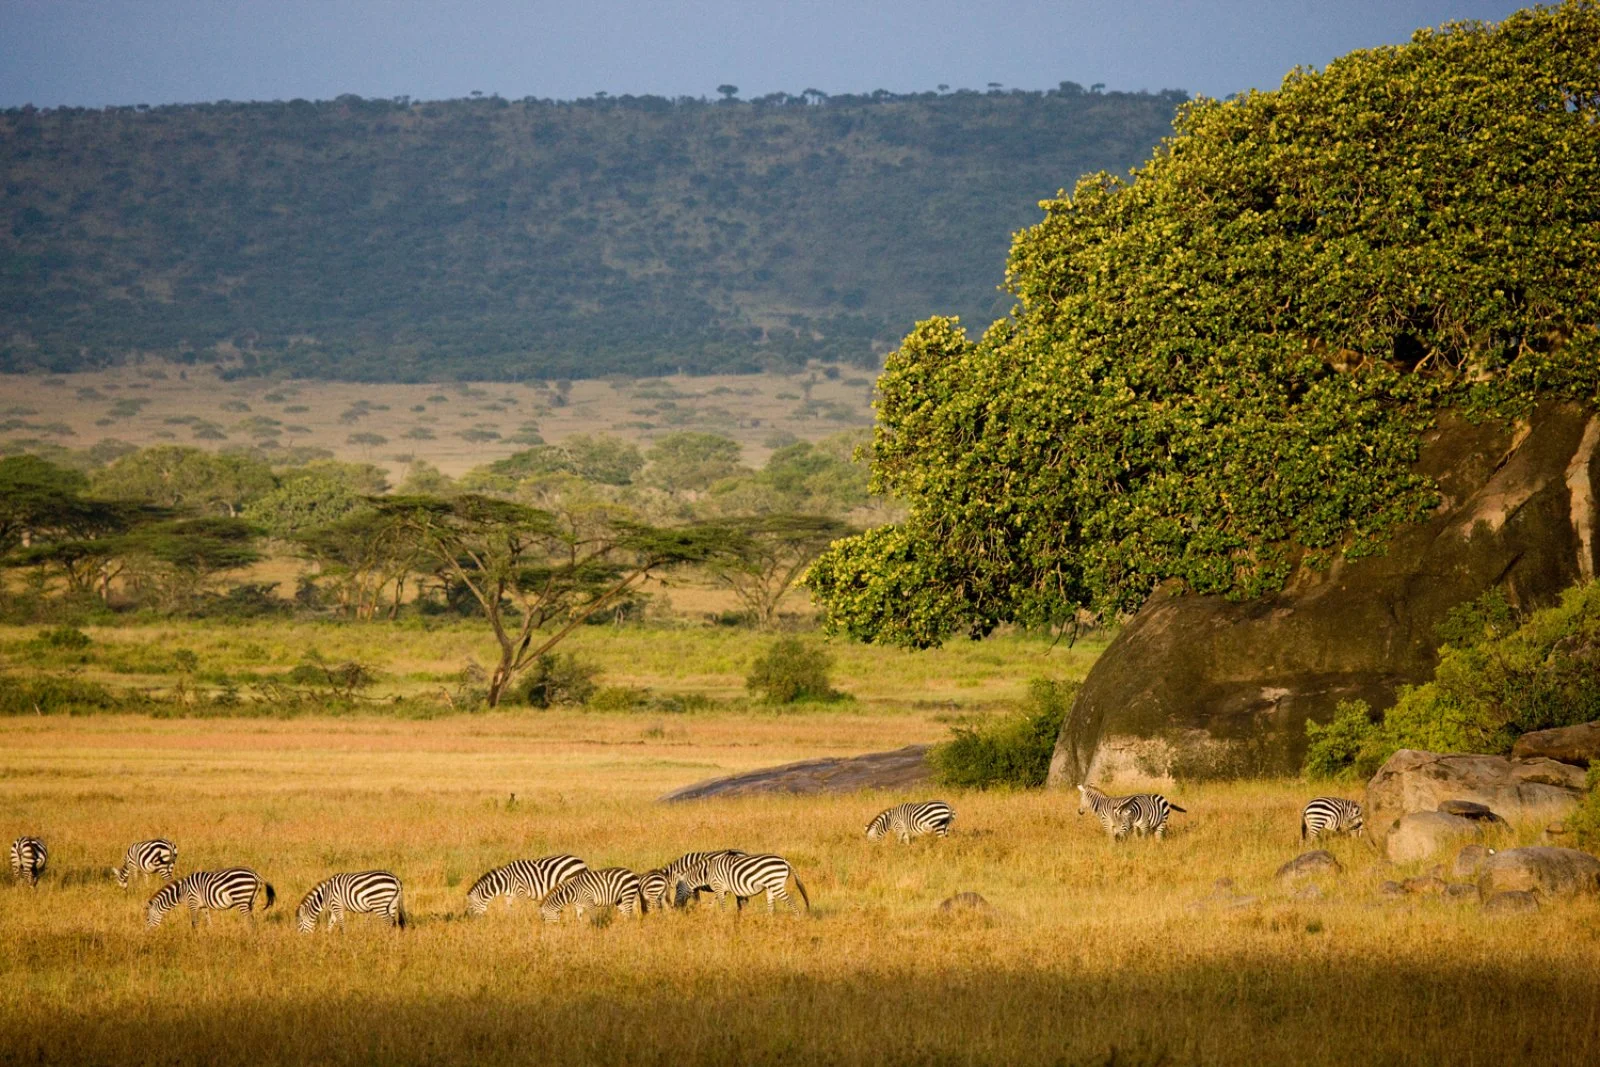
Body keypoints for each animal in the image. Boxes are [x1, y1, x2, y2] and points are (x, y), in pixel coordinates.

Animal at [145, 870, 273, 927]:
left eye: (147, 919)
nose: (149, 934)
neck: (182, 891)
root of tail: (255, 875)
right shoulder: (203, 905)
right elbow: (208, 919)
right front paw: (210, 932)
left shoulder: (193, 902)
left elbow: (194, 922)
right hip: (250, 901)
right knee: (252, 919)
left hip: (241, 898)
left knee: (249, 920)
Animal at [672, 851, 812, 921]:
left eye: (677, 889)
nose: (675, 906)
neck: (706, 872)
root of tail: (784, 860)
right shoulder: (723, 889)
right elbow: (717, 902)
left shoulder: (719, 886)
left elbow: (722, 904)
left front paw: (723, 918)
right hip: (771, 887)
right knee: (771, 907)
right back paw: (768, 922)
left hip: (776, 884)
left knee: (790, 900)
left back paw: (797, 918)